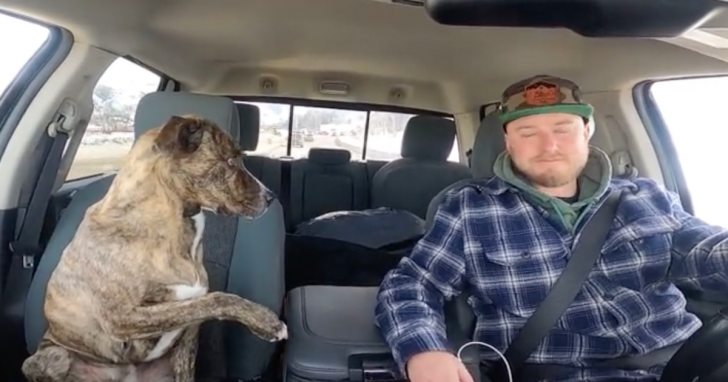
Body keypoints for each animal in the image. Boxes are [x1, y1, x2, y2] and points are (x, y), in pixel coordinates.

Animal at [20, 115, 288, 382]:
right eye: (231, 160)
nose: (271, 197)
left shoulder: (187, 335)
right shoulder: (122, 318)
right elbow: (217, 299)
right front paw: (267, 321)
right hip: (51, 356)